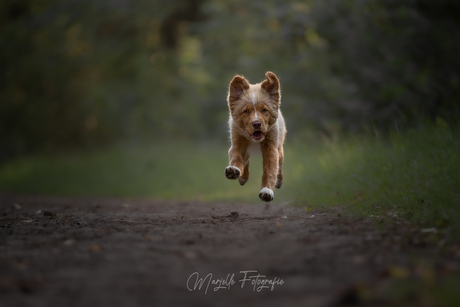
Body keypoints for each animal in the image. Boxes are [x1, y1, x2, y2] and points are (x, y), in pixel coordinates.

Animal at [225, 71, 286, 203]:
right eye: (246, 111)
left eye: (264, 109)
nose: (256, 124)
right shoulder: (237, 142)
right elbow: (236, 157)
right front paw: (234, 170)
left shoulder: (271, 148)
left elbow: (270, 170)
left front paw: (267, 191)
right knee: (246, 159)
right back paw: (242, 177)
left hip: (280, 145)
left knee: (280, 164)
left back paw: (279, 181)